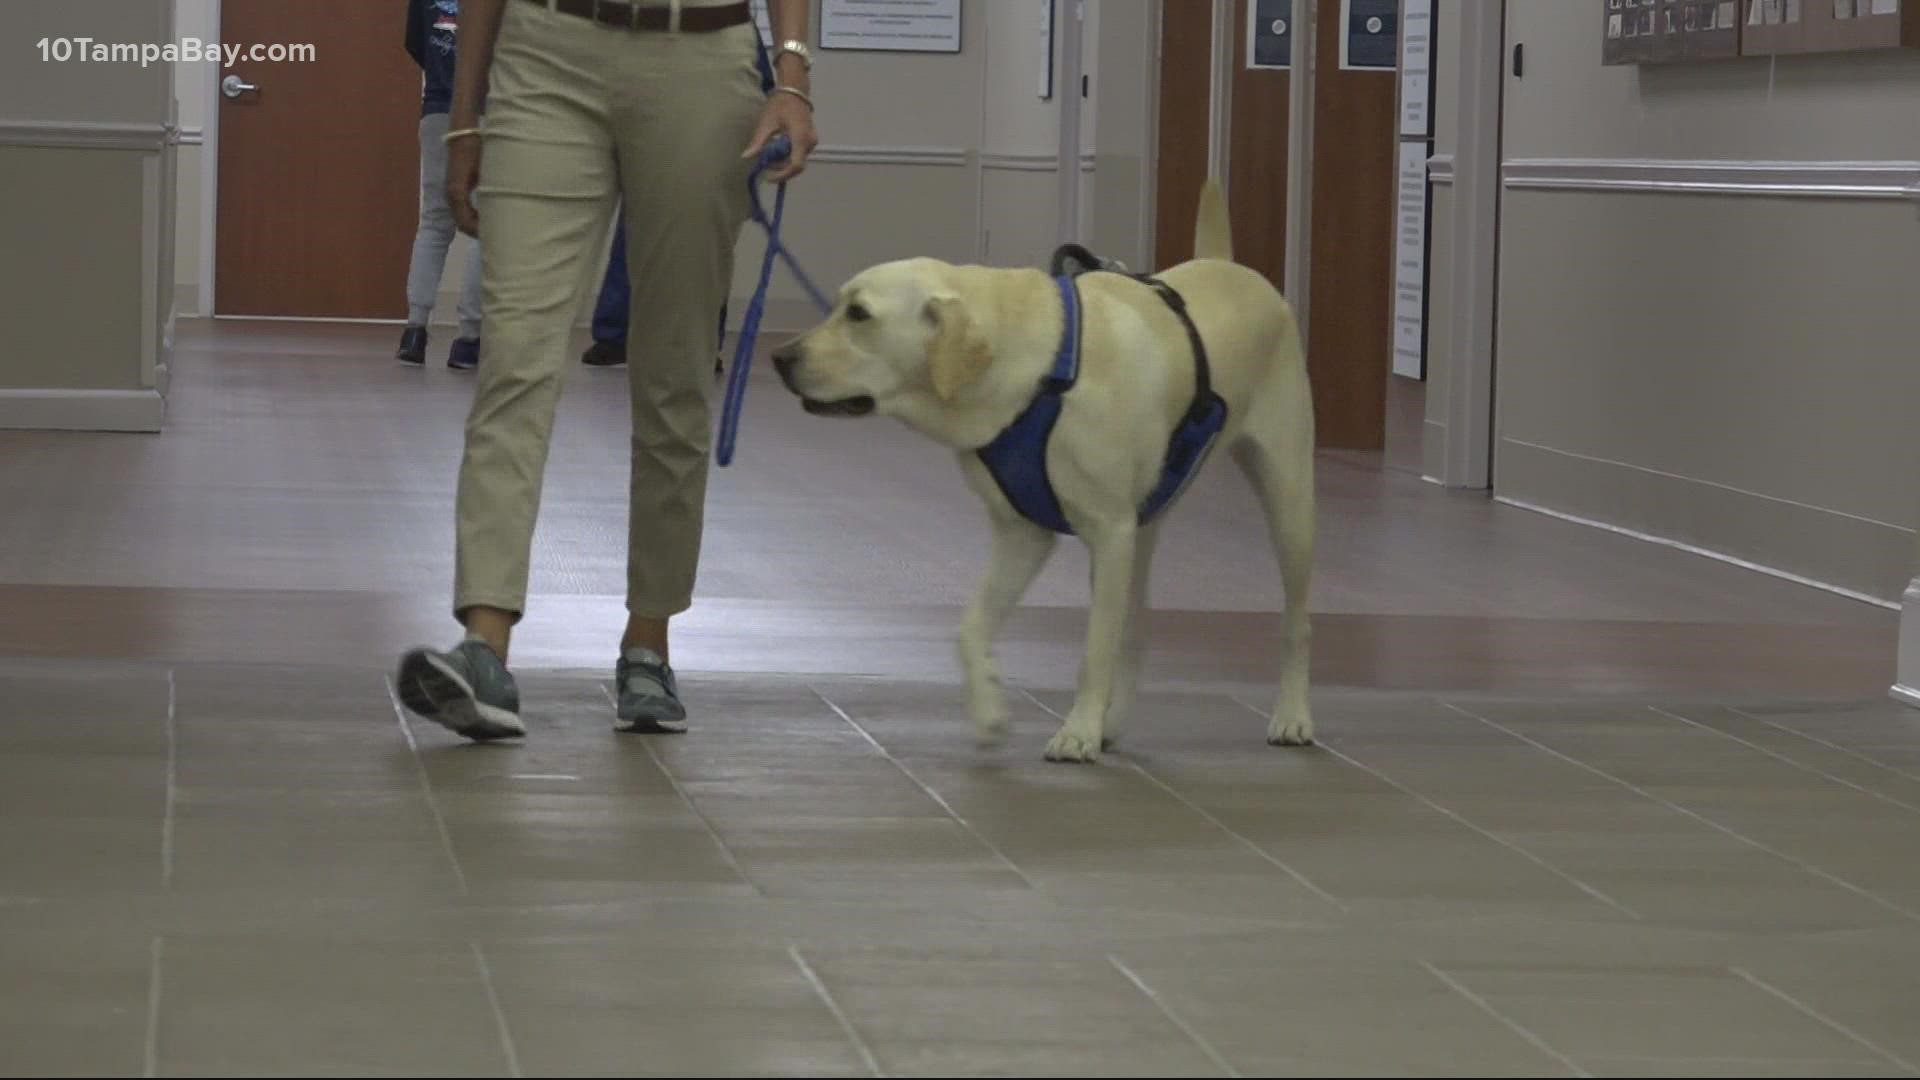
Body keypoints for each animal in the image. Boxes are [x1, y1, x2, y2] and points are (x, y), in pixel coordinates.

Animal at [771, 182, 1313, 757]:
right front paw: (990, 707)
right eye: (838, 306)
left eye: (859, 314)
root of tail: (1228, 264)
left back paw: (1292, 716)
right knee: (1136, 629)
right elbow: (971, 628)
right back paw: (1115, 720)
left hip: (1288, 503)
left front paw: (1077, 731)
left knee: (1296, 624)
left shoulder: (1108, 532)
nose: (779, 357)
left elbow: (1093, 650)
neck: (1040, 372)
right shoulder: (1023, 534)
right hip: (1145, 525)